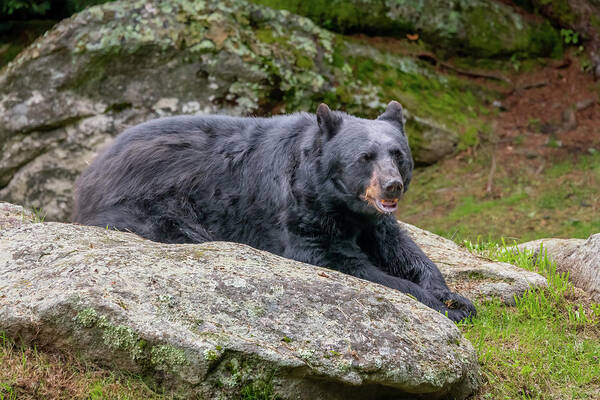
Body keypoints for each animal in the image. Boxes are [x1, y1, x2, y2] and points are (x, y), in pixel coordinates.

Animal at [74, 101, 478, 322]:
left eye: (398, 154)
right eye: (365, 157)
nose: (392, 185)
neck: (340, 202)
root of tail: (88, 174)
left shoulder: (372, 218)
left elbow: (402, 246)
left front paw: (448, 293)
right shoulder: (299, 210)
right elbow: (339, 259)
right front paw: (443, 304)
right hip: (151, 204)